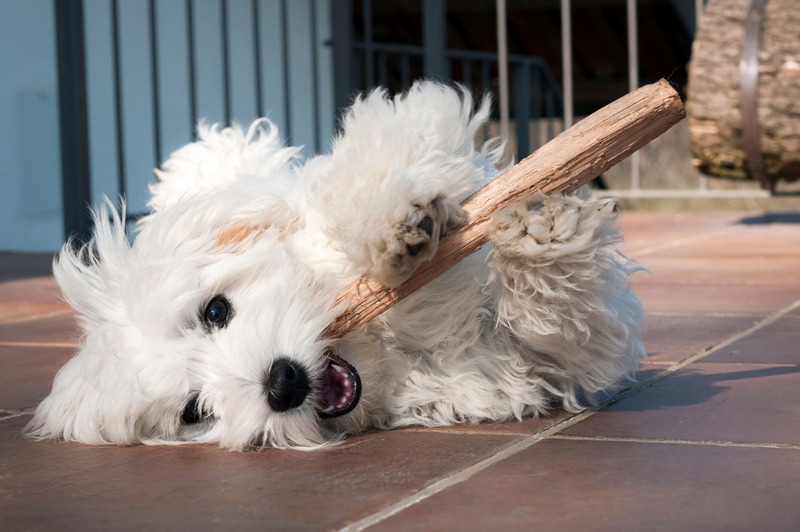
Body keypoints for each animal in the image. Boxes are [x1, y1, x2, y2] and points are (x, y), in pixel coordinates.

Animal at [28, 82, 648, 448]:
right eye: (193, 411)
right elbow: (564, 330)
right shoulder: (520, 367)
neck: (382, 349)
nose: (281, 384)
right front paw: (538, 236)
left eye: (215, 311)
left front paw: (396, 225)